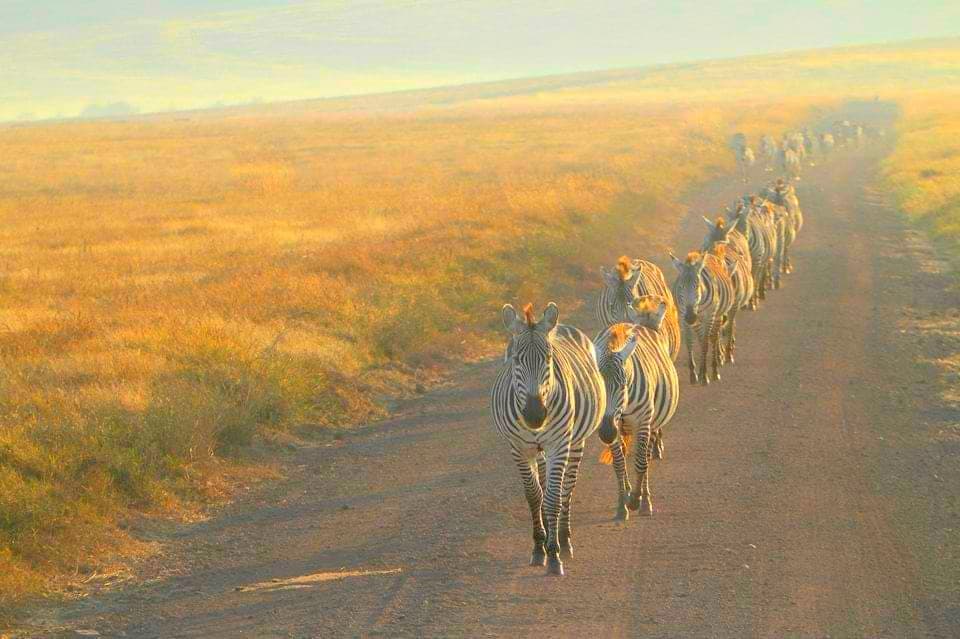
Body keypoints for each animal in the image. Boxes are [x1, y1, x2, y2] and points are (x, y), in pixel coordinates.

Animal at [492, 302, 604, 576]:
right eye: (516, 360)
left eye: (549, 359)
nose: (535, 415)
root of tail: (560, 325)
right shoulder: (519, 449)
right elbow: (534, 495)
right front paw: (538, 547)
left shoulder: (558, 445)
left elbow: (553, 497)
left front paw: (554, 555)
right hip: (539, 449)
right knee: (544, 486)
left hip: (574, 442)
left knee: (567, 487)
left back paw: (564, 538)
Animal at [672, 249, 740, 384]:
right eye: (681, 287)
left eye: (697, 286)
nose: (691, 317)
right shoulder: (683, 317)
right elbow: (690, 342)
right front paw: (693, 374)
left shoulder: (709, 316)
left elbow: (705, 343)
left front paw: (704, 375)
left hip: (716, 315)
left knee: (713, 338)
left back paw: (715, 370)